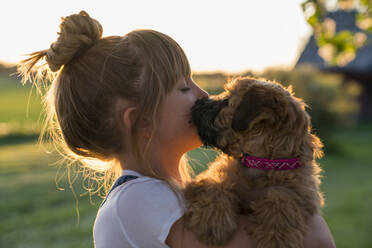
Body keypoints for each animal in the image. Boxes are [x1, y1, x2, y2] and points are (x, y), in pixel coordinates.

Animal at [185, 76, 324, 247]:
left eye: (226, 101)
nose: (197, 103)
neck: (259, 162)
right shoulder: (212, 176)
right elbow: (216, 184)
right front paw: (211, 221)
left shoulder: (303, 192)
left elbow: (282, 198)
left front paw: (275, 238)